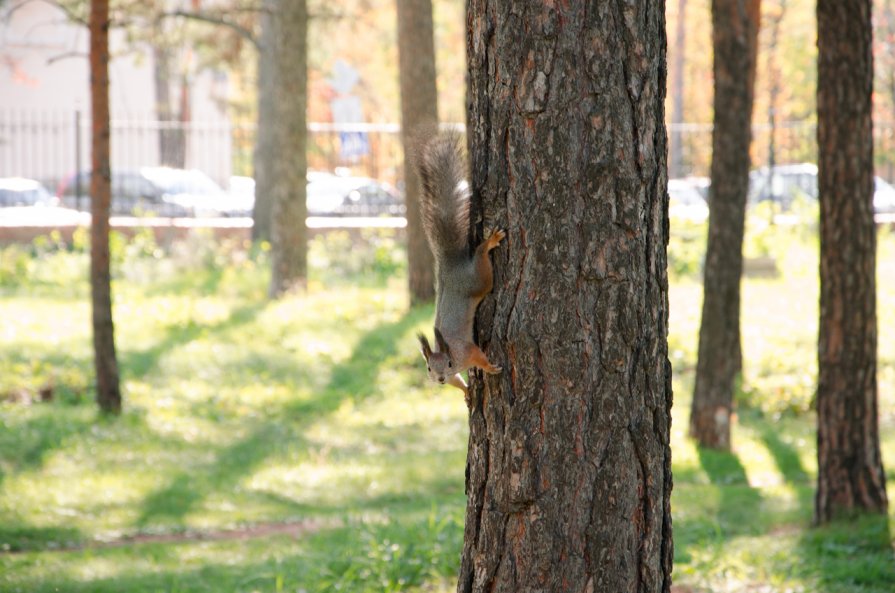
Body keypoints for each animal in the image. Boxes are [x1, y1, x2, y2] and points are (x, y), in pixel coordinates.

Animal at [412, 133, 504, 402]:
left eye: (450, 363)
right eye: (428, 368)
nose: (440, 379)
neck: (450, 351)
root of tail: (449, 266)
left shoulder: (466, 351)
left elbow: (478, 356)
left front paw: (489, 368)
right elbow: (458, 382)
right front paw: (465, 391)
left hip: (478, 281)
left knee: (482, 264)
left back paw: (489, 243)